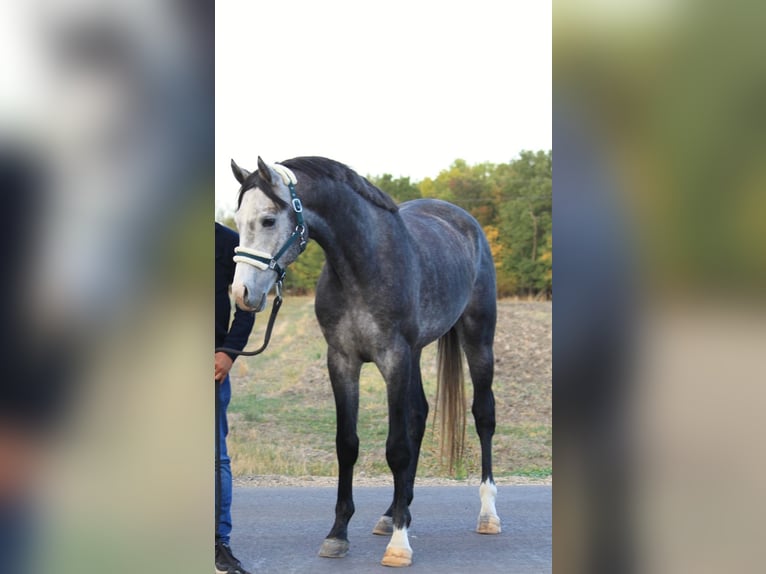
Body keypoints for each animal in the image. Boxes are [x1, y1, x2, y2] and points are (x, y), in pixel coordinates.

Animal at [231, 156, 500, 568]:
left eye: (268, 220)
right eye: (237, 219)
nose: (241, 293)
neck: (363, 266)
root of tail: (464, 221)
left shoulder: (393, 358)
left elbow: (397, 448)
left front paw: (400, 546)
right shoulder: (342, 361)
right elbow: (347, 444)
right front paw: (338, 534)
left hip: (477, 339)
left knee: (483, 415)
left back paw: (487, 514)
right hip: (417, 352)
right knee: (419, 415)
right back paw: (394, 512)